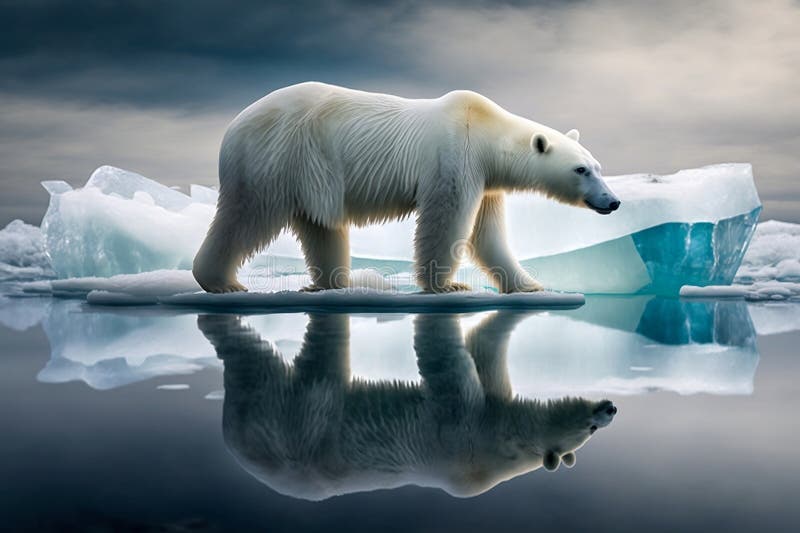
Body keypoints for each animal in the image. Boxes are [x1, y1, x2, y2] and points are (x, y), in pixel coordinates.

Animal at [192, 82, 620, 293]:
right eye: (581, 169)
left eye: (599, 167)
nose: (613, 201)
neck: (485, 131)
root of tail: (232, 127)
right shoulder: (455, 156)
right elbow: (446, 221)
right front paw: (447, 286)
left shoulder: (486, 181)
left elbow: (488, 234)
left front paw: (530, 285)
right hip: (276, 157)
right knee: (247, 215)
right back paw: (221, 282)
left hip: (313, 174)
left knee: (321, 227)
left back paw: (334, 284)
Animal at [197, 310, 617, 500]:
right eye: (591, 429)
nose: (610, 408)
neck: (500, 451)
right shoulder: (463, 435)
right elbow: (454, 381)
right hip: (291, 427)